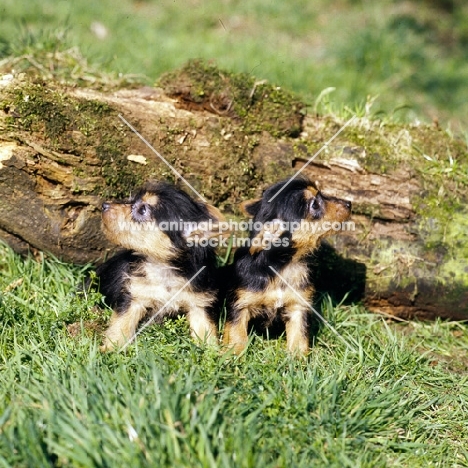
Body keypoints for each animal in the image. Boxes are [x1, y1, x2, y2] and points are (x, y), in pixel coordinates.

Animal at [95, 182, 223, 352]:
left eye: (143, 210)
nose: (104, 205)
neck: (163, 265)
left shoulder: (199, 302)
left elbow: (206, 329)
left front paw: (213, 352)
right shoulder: (134, 295)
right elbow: (122, 323)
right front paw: (111, 349)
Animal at [223, 177, 352, 356]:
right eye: (314, 205)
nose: (349, 203)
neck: (282, 266)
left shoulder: (298, 307)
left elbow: (299, 337)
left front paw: (297, 360)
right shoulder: (240, 305)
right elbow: (237, 333)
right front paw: (233, 355)